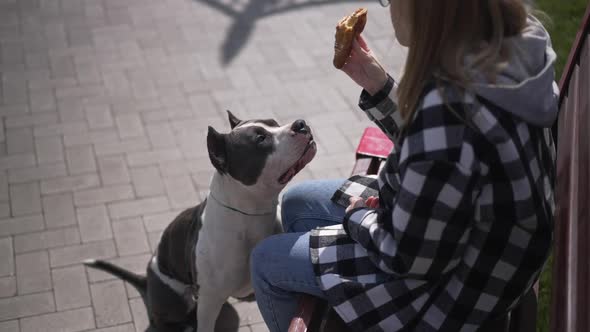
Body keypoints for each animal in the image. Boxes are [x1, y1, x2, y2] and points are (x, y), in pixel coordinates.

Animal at [84, 112, 320, 332]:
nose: (300, 124)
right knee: (161, 320)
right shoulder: (208, 302)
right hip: (178, 299)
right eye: (261, 139)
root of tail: (148, 279)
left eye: (274, 122)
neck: (251, 215)